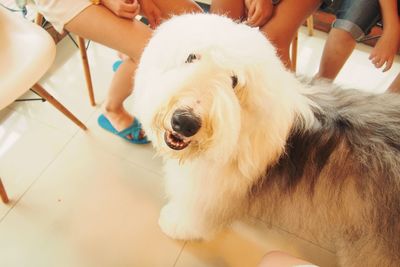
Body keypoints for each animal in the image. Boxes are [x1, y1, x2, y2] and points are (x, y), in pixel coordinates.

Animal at [133, 14, 400, 266]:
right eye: (191, 57)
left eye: (234, 80)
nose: (185, 122)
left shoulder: (208, 189)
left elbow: (193, 213)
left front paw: (175, 224)